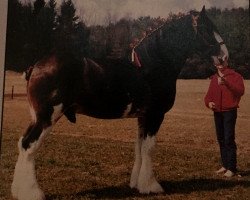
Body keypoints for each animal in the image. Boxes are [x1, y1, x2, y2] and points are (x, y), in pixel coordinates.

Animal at [11, 6, 229, 200]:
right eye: (206, 29)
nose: (225, 57)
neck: (152, 65)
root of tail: (37, 66)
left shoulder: (143, 117)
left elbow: (139, 148)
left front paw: (137, 184)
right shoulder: (155, 115)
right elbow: (149, 148)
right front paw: (151, 186)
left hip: (38, 117)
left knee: (22, 143)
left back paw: (19, 191)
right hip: (47, 117)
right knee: (29, 145)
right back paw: (32, 193)